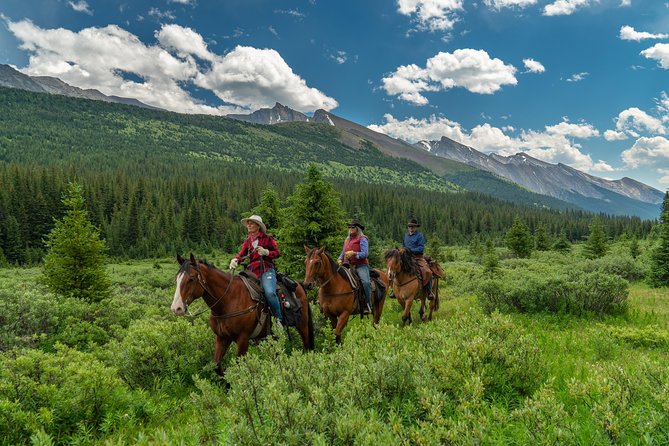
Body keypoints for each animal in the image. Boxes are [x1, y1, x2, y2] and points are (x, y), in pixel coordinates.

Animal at [172, 254, 314, 372]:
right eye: (176, 279)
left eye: (191, 279)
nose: (176, 308)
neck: (228, 300)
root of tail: (299, 284)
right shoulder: (222, 338)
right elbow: (216, 365)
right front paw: (227, 384)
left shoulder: (243, 339)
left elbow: (240, 366)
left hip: (302, 325)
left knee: (307, 345)